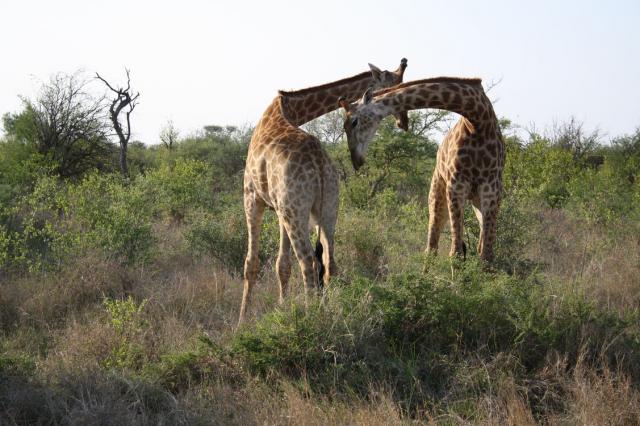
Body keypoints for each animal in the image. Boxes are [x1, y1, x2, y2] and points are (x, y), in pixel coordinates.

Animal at [238, 59, 408, 325]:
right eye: (393, 86)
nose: (403, 121)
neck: (287, 109)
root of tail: (319, 162)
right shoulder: (279, 208)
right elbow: (282, 264)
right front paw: (282, 308)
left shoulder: (252, 197)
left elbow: (251, 263)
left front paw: (241, 323)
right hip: (327, 206)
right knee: (330, 262)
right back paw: (327, 315)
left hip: (295, 211)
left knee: (308, 262)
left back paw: (310, 320)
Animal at [339, 77, 505, 262]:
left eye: (354, 122)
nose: (356, 161)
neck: (478, 119)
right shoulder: (456, 184)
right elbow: (455, 253)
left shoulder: (491, 189)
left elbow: (486, 255)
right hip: (437, 196)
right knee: (431, 247)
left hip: (476, 202)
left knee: (477, 244)